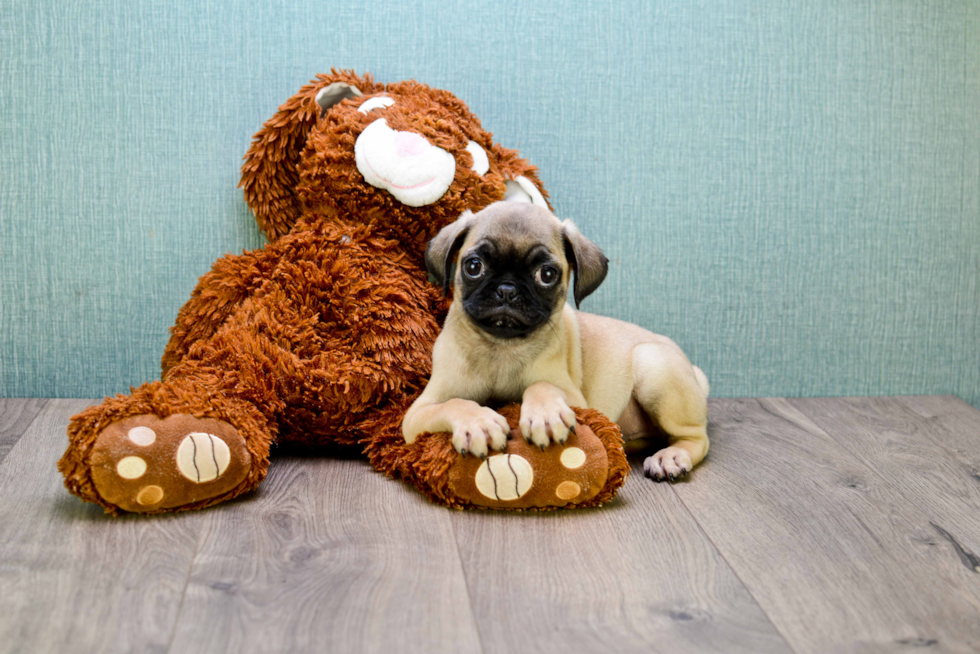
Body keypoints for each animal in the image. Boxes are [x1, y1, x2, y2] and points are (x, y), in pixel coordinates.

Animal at [402, 202, 708, 480]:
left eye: (547, 274)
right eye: (474, 266)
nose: (507, 289)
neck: (502, 348)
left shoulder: (577, 401)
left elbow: (541, 385)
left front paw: (546, 414)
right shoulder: (417, 415)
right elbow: (455, 403)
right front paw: (479, 423)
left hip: (654, 370)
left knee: (696, 438)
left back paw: (671, 457)